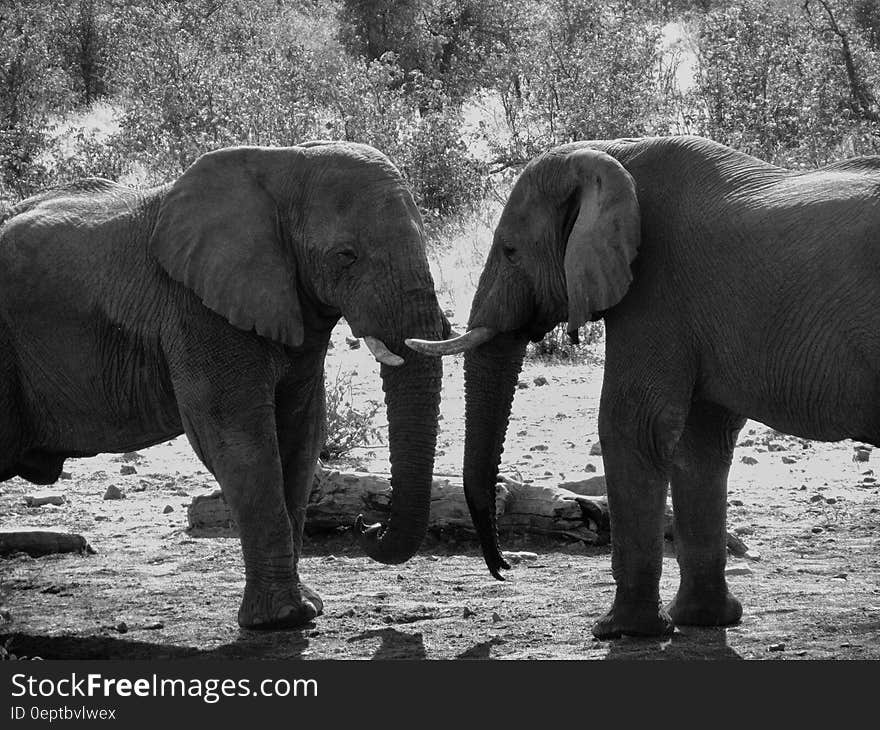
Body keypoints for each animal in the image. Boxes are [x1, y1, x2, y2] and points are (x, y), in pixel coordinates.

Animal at [1, 141, 446, 624]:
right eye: (346, 255)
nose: (368, 523)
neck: (281, 163)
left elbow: (301, 438)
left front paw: (305, 608)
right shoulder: (196, 311)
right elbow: (241, 442)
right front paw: (283, 618)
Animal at [410, 134, 880, 636]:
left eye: (510, 250)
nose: (505, 568)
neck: (612, 154)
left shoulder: (656, 287)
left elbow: (632, 425)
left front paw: (619, 629)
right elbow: (699, 442)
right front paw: (702, 621)